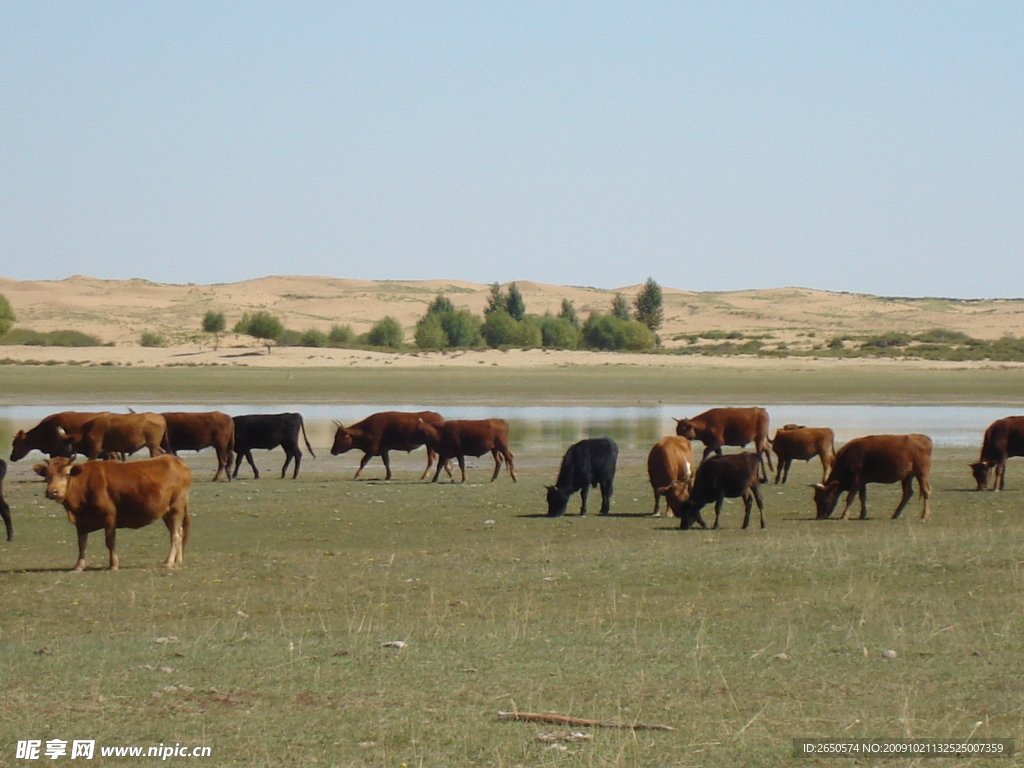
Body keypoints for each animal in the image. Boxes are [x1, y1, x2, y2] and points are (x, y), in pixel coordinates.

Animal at [32, 456, 192, 573]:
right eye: (47, 475)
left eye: (66, 474)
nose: (52, 492)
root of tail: (176, 460)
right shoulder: (81, 521)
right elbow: (82, 543)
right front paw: (79, 565)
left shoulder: (109, 515)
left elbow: (110, 541)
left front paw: (113, 564)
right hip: (166, 511)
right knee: (179, 531)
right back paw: (177, 561)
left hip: (176, 507)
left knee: (175, 535)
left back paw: (169, 562)